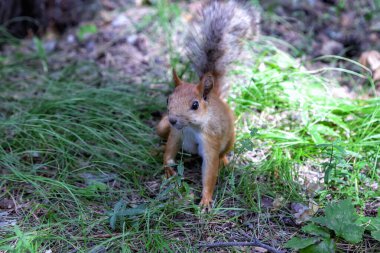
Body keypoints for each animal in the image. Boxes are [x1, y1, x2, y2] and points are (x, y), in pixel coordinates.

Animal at [155, 0, 258, 210]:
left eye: (195, 105)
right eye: (168, 100)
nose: (173, 119)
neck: (191, 127)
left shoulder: (211, 139)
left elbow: (210, 169)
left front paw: (205, 200)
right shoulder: (176, 133)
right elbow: (170, 150)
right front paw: (168, 168)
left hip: (230, 138)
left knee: (222, 154)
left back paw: (224, 161)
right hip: (162, 127)